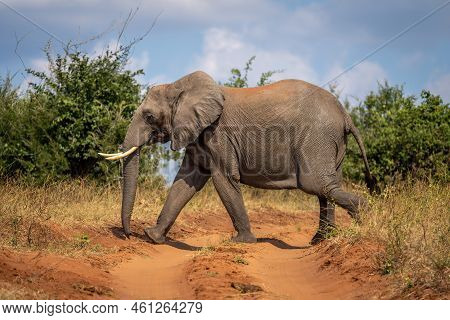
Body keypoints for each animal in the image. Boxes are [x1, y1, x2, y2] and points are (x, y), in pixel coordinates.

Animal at [100, 70, 374, 245]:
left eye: (148, 117)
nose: (129, 235)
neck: (179, 86)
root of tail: (345, 114)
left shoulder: (218, 134)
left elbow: (223, 179)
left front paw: (241, 242)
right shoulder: (199, 134)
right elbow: (186, 183)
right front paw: (152, 236)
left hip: (316, 137)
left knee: (316, 184)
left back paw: (364, 218)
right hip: (331, 143)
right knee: (327, 186)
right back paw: (321, 241)